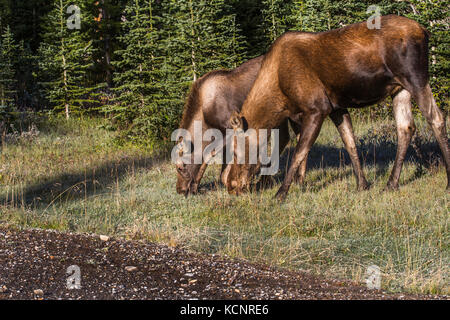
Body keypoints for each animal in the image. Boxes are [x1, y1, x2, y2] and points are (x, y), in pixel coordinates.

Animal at [229, 15, 450, 200]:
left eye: (235, 151)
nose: (231, 185)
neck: (279, 96)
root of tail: (424, 31)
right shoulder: (336, 108)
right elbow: (349, 142)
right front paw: (362, 184)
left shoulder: (316, 108)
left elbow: (298, 153)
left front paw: (281, 193)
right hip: (399, 88)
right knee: (405, 127)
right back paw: (391, 184)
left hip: (415, 78)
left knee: (436, 118)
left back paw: (446, 183)